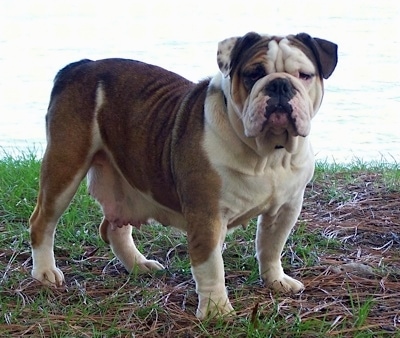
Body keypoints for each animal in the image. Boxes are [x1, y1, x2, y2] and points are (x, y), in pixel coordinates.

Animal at [28, 32, 338, 320]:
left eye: (305, 75)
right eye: (254, 74)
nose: (280, 84)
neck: (268, 154)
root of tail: (81, 66)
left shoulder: (286, 207)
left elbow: (272, 246)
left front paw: (276, 280)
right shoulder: (207, 215)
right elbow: (211, 265)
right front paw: (216, 310)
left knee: (114, 227)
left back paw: (139, 265)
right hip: (65, 167)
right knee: (43, 221)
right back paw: (45, 272)